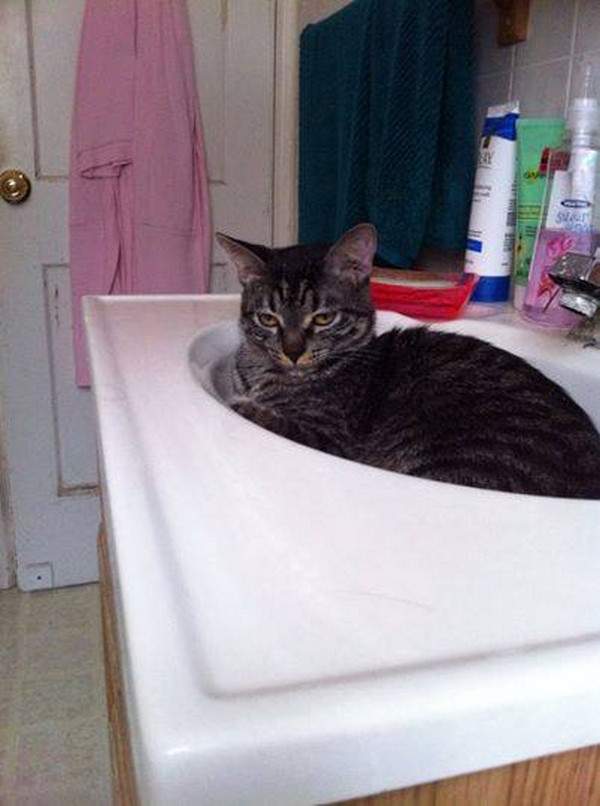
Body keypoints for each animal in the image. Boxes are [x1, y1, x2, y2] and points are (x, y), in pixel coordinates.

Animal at [218, 223, 600, 498]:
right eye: (268, 319)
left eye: (324, 318)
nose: (293, 352)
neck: (262, 372)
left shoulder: (328, 438)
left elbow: (261, 414)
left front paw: (244, 405)